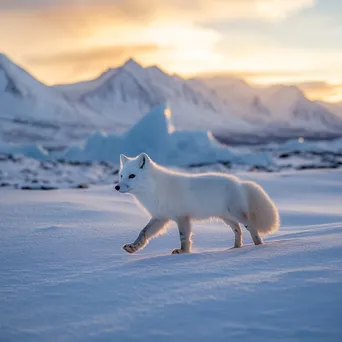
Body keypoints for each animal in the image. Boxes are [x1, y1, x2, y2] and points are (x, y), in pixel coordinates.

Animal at [115, 152, 280, 254]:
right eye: (121, 175)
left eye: (132, 176)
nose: (116, 187)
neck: (155, 189)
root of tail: (239, 183)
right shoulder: (160, 217)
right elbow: (143, 232)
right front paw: (133, 247)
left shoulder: (182, 217)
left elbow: (184, 237)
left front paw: (183, 252)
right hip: (226, 217)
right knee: (237, 229)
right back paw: (235, 247)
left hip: (237, 214)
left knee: (251, 227)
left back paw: (258, 246)